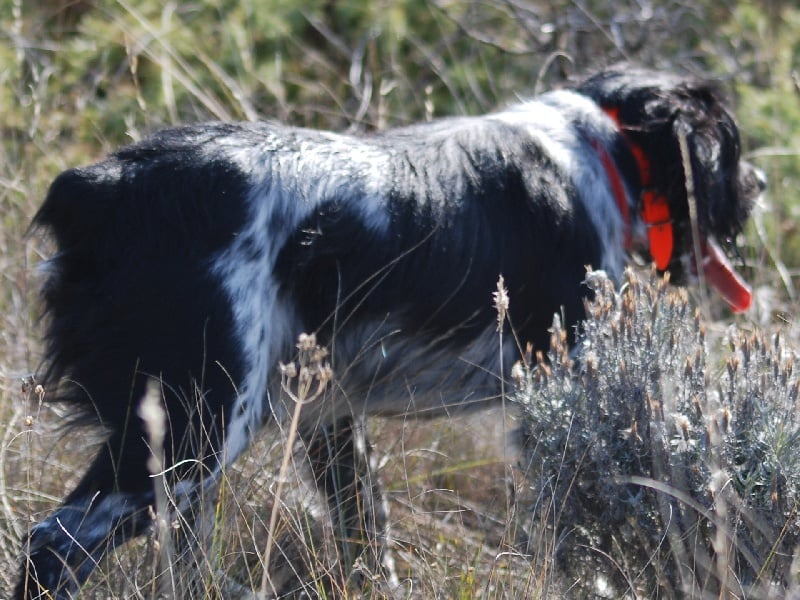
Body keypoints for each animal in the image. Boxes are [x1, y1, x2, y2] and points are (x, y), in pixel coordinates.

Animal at [16, 66, 763, 598]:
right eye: (729, 151)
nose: (760, 185)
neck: (596, 147)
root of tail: (99, 186)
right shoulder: (560, 378)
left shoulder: (327, 412)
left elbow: (364, 530)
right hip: (193, 425)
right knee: (51, 546)